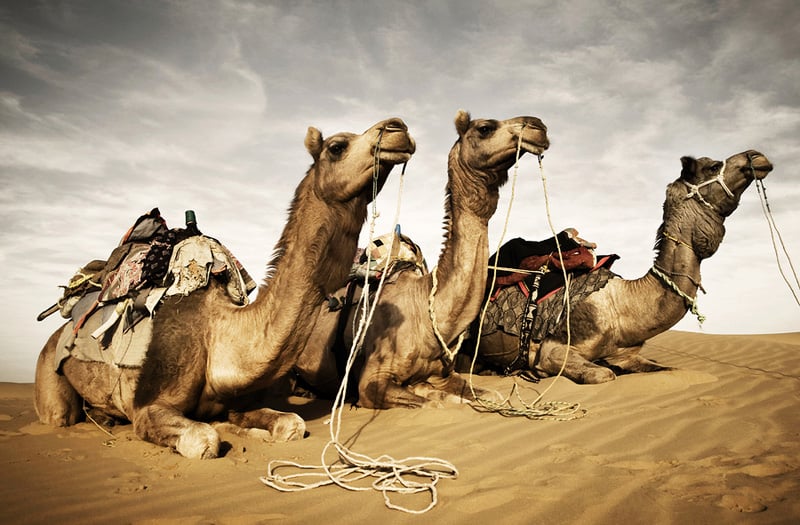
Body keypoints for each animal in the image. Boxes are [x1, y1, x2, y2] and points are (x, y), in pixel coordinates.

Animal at [34, 116, 416, 456]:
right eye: (337, 147)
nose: (398, 128)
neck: (219, 334)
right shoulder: (148, 408)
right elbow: (204, 439)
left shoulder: (235, 401)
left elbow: (290, 424)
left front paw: (250, 432)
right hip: (50, 378)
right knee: (61, 415)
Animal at [294, 109, 552, 406]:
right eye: (485, 128)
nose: (538, 126)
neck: (427, 313)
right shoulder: (372, 381)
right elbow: (437, 402)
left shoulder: (444, 372)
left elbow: (488, 394)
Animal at [472, 149, 772, 382]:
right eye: (713, 165)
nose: (757, 156)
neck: (622, 305)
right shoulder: (553, 350)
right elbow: (603, 374)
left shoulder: (626, 354)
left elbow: (672, 370)